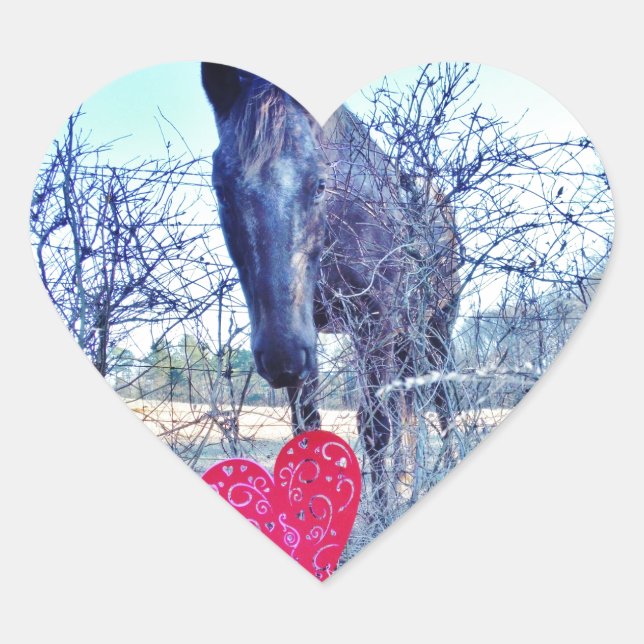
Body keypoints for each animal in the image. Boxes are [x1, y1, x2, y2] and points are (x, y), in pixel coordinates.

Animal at [201, 63, 461, 511]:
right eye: (221, 189)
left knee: (442, 405)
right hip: (405, 339)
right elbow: (307, 431)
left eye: (320, 184)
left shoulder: (373, 324)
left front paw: (379, 514)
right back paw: (408, 482)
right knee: (410, 412)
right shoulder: (307, 340)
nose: (280, 356)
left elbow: (376, 428)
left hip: (435, 331)